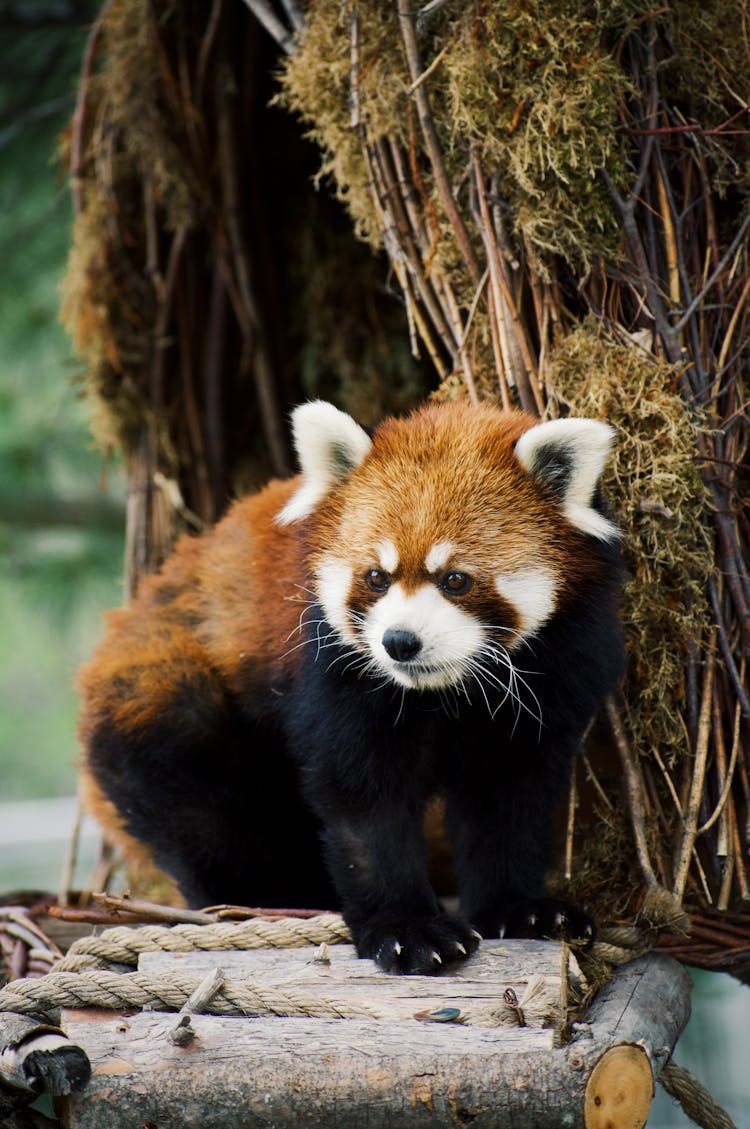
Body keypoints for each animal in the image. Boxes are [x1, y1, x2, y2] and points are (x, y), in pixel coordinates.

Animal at [79, 401, 623, 975]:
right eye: (376, 577)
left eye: (455, 579)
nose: (399, 641)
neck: (446, 691)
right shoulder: (336, 673)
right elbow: (363, 800)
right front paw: (406, 928)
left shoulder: (554, 673)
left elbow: (508, 796)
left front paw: (519, 909)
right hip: (161, 690)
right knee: (201, 806)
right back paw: (258, 901)